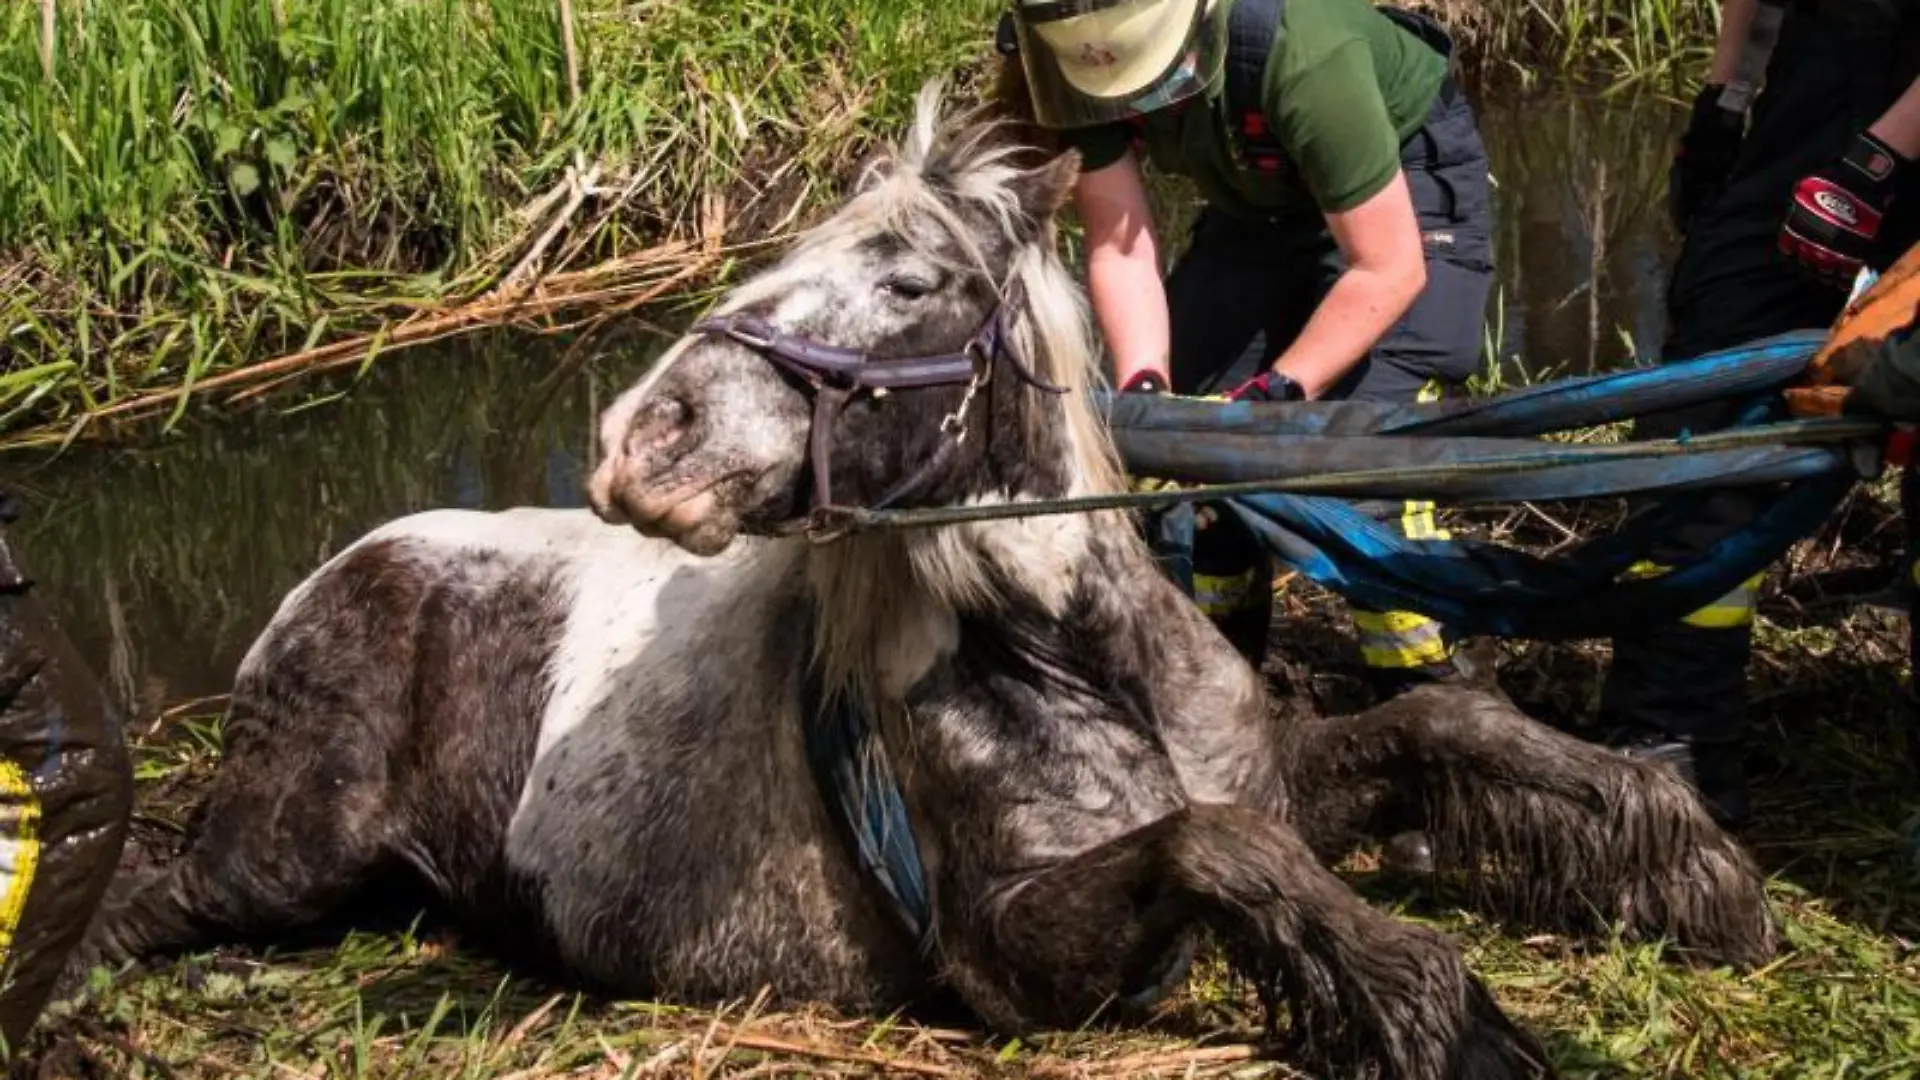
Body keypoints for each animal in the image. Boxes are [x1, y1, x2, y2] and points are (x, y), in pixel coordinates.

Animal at [74, 84, 1777, 1080]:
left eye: (902, 282)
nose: (636, 442)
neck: (1073, 655)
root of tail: (332, 572)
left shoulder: (1281, 775)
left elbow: (1439, 729)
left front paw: (1690, 868)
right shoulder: (1015, 965)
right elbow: (1223, 848)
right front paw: (1440, 1010)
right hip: (279, 865)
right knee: (152, 895)